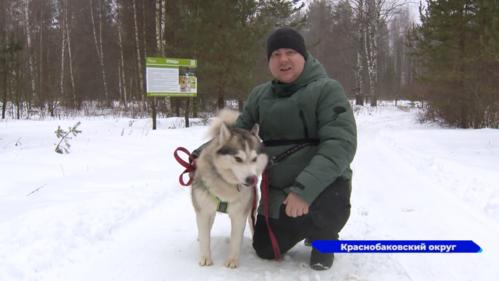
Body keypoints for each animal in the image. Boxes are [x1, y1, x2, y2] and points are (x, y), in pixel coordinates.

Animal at [192, 109, 270, 266]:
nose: (251, 179)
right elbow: (205, 237)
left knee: (252, 223)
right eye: (238, 158)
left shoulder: (240, 213)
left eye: (254, 159)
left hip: (251, 208)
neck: (226, 185)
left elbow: (235, 238)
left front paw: (232, 260)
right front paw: (205, 257)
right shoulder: (204, 211)